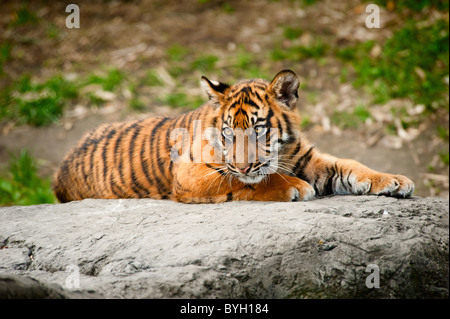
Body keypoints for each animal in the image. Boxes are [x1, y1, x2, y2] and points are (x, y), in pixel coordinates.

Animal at [51, 70, 414, 205]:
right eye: (228, 133)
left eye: (258, 130)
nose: (241, 164)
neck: (282, 154)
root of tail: (60, 168)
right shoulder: (191, 173)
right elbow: (248, 181)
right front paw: (294, 187)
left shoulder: (306, 157)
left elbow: (350, 165)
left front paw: (394, 181)